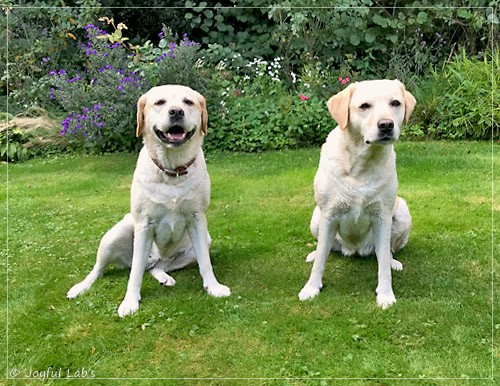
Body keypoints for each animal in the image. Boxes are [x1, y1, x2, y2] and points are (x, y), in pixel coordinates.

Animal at [66, 84, 230, 316]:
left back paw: (164, 277)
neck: (172, 172)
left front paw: (213, 287)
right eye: (160, 102)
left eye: (188, 102)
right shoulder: (144, 224)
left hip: (203, 242)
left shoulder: (197, 219)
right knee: (101, 269)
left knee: (156, 266)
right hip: (114, 235)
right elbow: (135, 272)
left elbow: (205, 263)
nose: (176, 112)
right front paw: (129, 302)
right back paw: (80, 287)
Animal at [298, 80, 416, 310]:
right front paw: (311, 288)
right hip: (316, 217)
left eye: (395, 103)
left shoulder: (382, 217)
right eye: (364, 106)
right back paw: (314, 253)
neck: (362, 164)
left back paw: (393, 261)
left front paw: (385, 295)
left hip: (402, 213)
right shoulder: (328, 215)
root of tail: (355, 249)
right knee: (326, 248)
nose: (386, 125)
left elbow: (383, 265)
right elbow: (321, 260)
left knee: (387, 251)